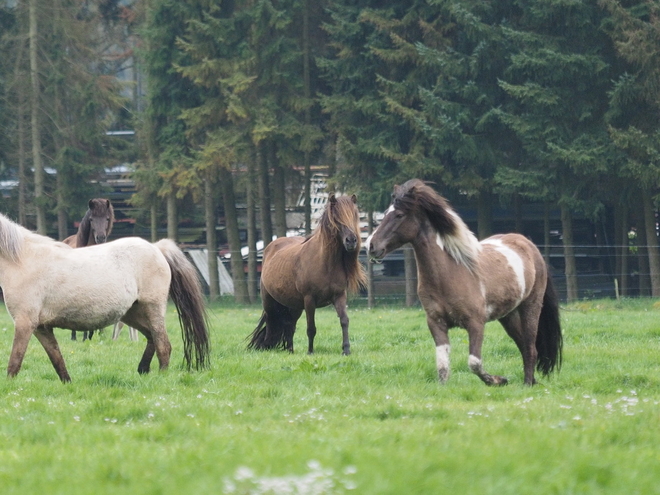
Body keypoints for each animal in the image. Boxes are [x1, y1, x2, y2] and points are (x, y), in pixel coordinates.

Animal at [0, 214, 210, 384]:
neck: (22, 260)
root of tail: (157, 248)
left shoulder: (25, 323)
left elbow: (15, 361)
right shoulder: (42, 327)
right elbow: (56, 358)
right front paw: (68, 384)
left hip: (152, 309)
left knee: (163, 345)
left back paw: (161, 378)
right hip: (132, 314)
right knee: (151, 338)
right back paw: (142, 370)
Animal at [62, 198, 114, 340]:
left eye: (107, 218)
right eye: (91, 219)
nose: (100, 238)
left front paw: (94, 334)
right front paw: (85, 336)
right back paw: (74, 336)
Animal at [249, 195, 368, 356]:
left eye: (355, 215)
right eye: (336, 217)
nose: (351, 241)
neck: (325, 263)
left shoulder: (339, 296)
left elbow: (344, 320)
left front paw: (346, 350)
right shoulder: (309, 299)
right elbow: (311, 327)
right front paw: (310, 351)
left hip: (294, 305)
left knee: (289, 326)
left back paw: (290, 351)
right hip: (269, 302)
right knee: (271, 324)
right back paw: (268, 347)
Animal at [366, 179, 564, 388]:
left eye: (399, 215)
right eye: (385, 213)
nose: (371, 246)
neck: (449, 274)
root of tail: (530, 246)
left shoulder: (476, 323)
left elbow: (474, 363)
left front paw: (497, 380)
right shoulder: (436, 323)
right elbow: (442, 365)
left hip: (531, 306)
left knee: (530, 347)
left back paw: (527, 384)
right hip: (508, 315)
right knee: (524, 345)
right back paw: (531, 381)